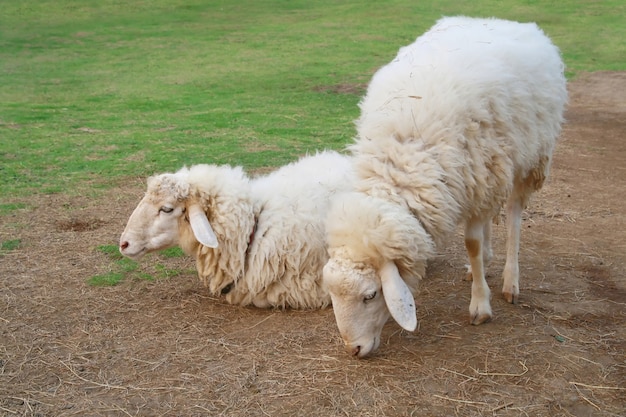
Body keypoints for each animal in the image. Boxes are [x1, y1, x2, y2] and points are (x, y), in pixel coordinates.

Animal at [322, 14, 564, 356]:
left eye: (370, 295)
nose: (353, 350)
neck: (402, 156)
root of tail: (503, 20)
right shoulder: (474, 179)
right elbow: (477, 238)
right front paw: (478, 273)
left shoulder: (482, 173)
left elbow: (471, 243)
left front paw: (480, 306)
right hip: (488, 172)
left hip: (529, 158)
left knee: (514, 215)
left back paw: (510, 282)